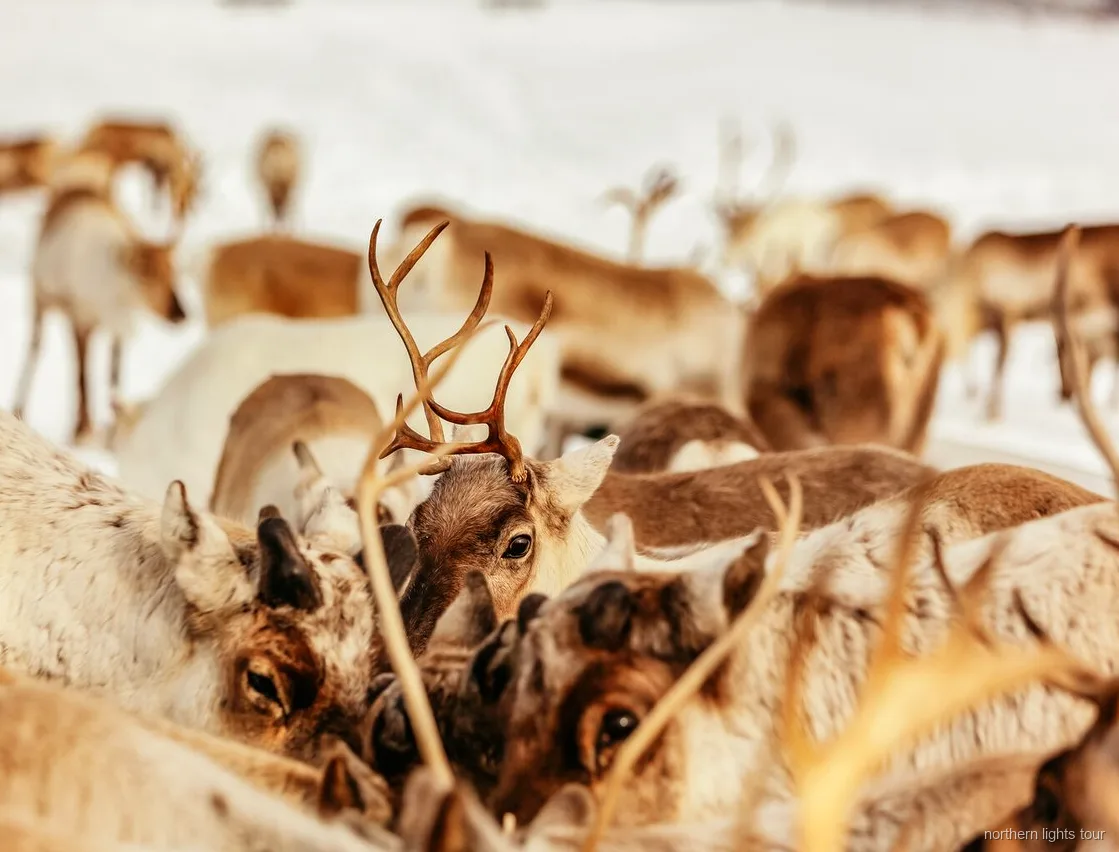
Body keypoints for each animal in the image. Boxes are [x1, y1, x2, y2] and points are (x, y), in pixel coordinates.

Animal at [11, 170, 188, 444]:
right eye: (146, 275)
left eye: (173, 272)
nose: (181, 314)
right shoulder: (80, 319)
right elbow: (83, 377)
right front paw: (82, 429)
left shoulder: (118, 328)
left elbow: (112, 377)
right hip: (41, 299)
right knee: (35, 350)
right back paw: (19, 406)